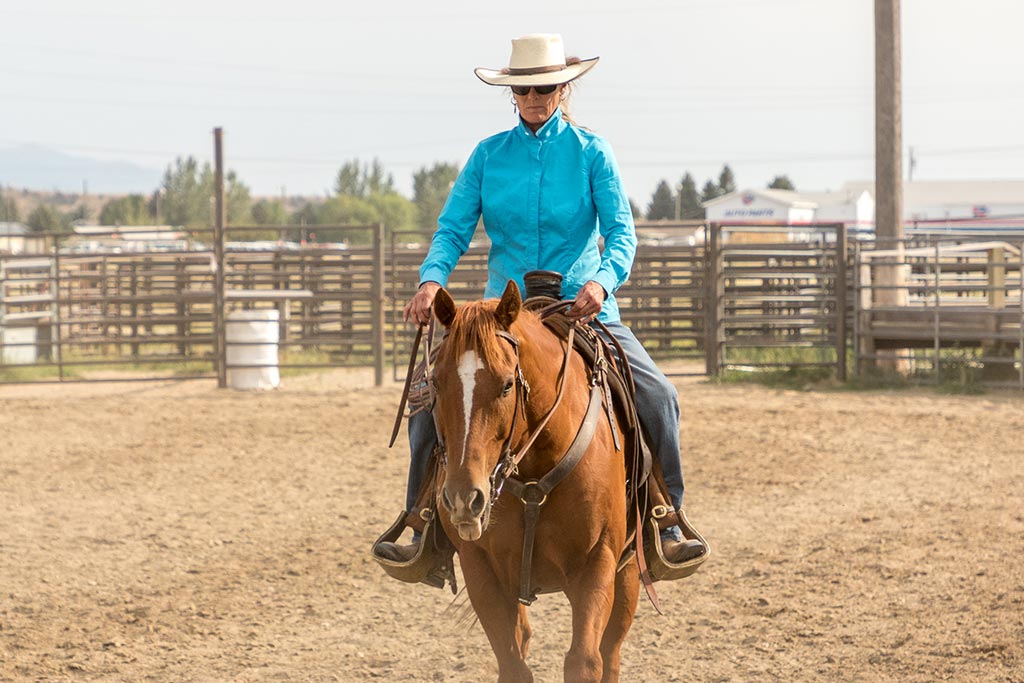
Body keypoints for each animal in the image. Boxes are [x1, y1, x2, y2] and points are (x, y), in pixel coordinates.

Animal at [428, 282, 634, 683]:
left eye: (508, 385)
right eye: (435, 382)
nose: (463, 499)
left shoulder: (598, 561)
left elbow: (585, 661)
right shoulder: (481, 568)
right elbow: (513, 664)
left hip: (628, 572)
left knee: (612, 650)